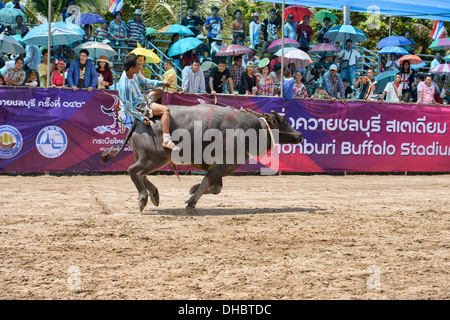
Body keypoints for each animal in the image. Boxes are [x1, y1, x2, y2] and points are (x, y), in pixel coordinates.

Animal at [102, 105, 302, 214]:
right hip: (154, 158)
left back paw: (155, 195)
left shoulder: (220, 167)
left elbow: (215, 188)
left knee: (142, 175)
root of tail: (142, 119)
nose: (299, 135)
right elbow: (207, 184)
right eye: (284, 121)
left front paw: (192, 189)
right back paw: (143, 198)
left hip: (147, 158)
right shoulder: (221, 166)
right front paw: (191, 202)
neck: (248, 129)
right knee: (134, 171)